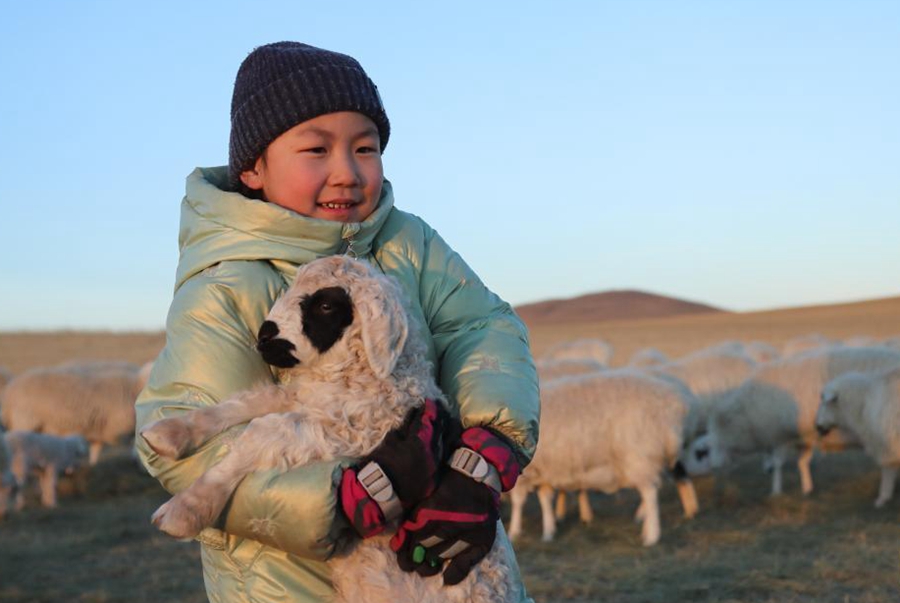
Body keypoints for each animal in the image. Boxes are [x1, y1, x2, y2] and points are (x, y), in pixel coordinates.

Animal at [2, 360, 146, 464]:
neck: (134, 387)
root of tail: (10, 390)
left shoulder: (99, 431)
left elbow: (95, 451)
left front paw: (93, 465)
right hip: (24, 422)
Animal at [506, 368, 696, 548]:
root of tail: (676, 404)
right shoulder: (544, 471)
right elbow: (545, 500)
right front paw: (548, 532)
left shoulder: (526, 473)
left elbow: (518, 502)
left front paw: (514, 532)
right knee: (652, 489)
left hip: (640, 456)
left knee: (650, 494)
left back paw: (651, 536)